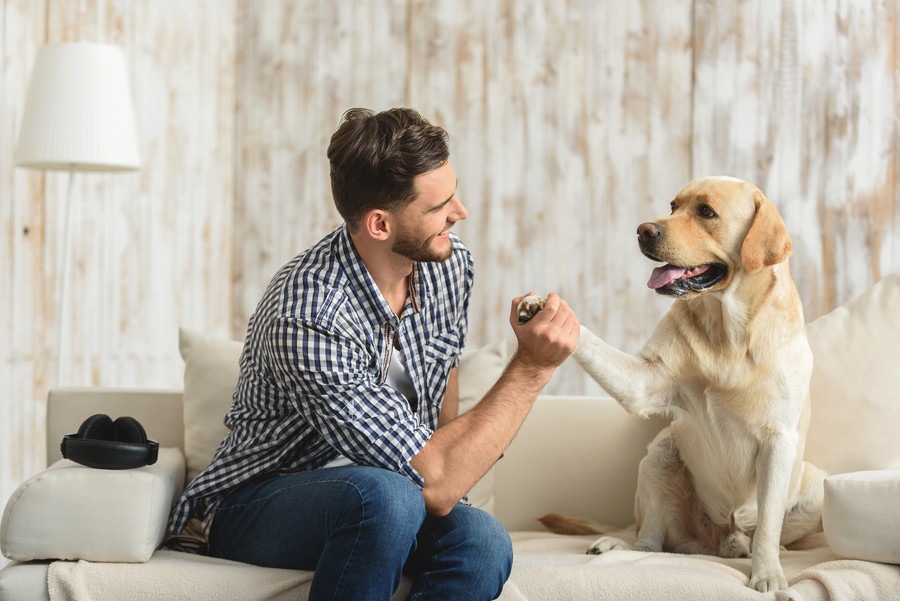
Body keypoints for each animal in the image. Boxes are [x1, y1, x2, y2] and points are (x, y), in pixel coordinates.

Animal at [516, 177, 828, 592]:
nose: (644, 230)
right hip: (659, 455)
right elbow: (589, 339)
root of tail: (719, 543)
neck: (729, 331)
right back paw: (616, 544)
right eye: (673, 205)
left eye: (706, 212)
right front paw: (544, 309)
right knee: (648, 541)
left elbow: (768, 525)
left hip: (815, 484)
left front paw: (768, 574)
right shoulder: (644, 380)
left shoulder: (780, 439)